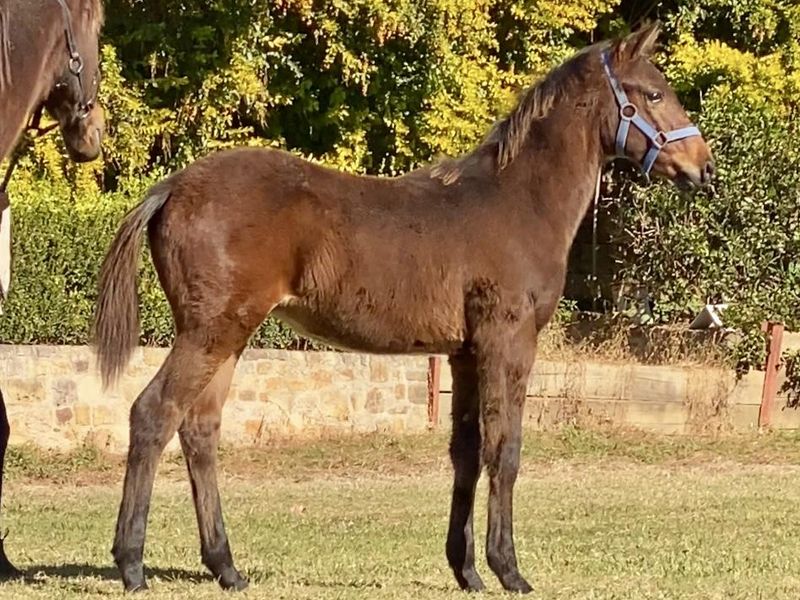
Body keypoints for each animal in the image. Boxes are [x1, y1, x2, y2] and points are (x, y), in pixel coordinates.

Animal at [93, 23, 713, 593]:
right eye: (653, 93)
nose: (702, 168)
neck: (517, 201)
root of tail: (172, 187)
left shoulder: (465, 353)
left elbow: (466, 452)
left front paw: (467, 571)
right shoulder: (507, 340)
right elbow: (505, 449)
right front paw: (509, 570)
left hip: (230, 334)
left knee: (199, 430)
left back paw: (227, 568)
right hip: (210, 330)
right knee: (152, 414)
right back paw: (132, 565)